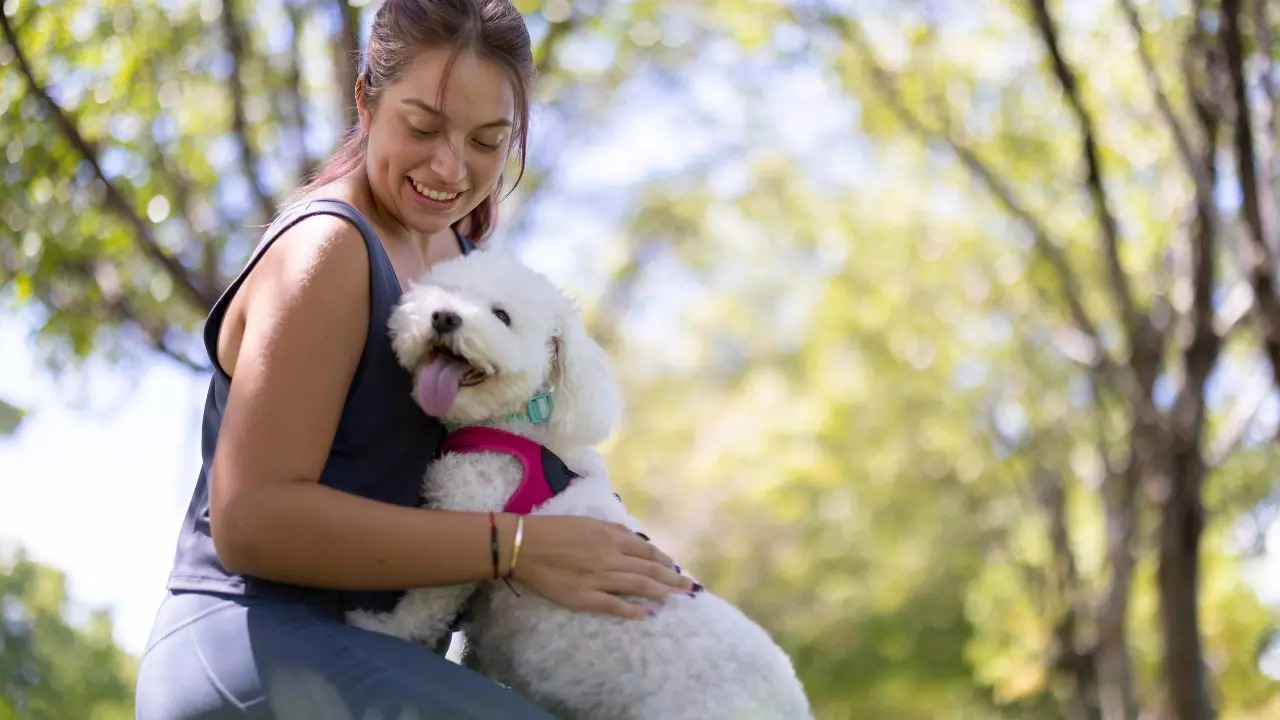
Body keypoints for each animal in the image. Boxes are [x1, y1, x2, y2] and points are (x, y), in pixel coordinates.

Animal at [345, 248, 814, 717]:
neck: (518, 428)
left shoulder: (466, 520)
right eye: (447, 291)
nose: (444, 317)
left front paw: (383, 627)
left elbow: (426, 603)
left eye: (502, 315)